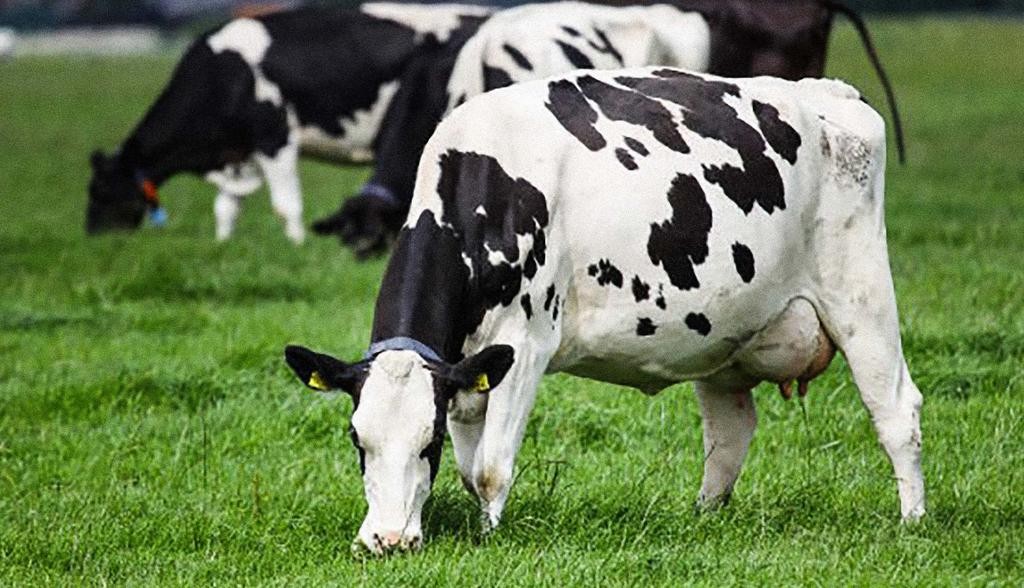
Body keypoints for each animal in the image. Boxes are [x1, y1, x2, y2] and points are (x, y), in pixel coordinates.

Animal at [85, 3, 492, 243]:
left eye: (101, 190)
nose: (93, 237)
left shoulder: (274, 136)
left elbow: (285, 205)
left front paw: (297, 245)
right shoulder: (239, 154)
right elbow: (226, 208)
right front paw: (223, 244)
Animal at [283, 67, 926, 554]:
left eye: (427, 442)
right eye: (357, 440)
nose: (388, 540)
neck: (486, 190)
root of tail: (829, 93)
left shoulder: (525, 345)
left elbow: (491, 467)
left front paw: (489, 541)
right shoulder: (468, 367)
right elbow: (470, 471)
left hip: (860, 290)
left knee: (897, 411)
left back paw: (912, 522)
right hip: (728, 332)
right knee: (731, 433)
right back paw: (704, 518)